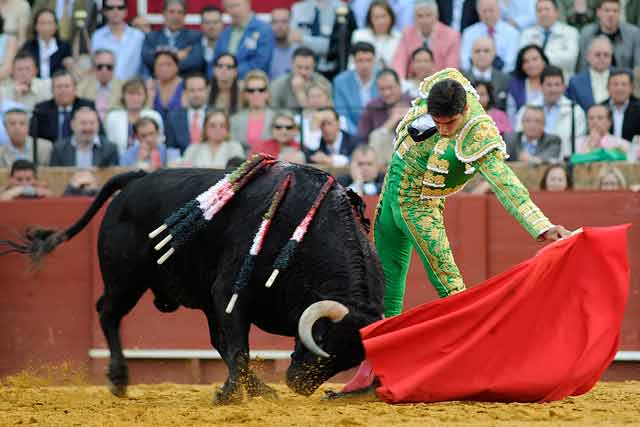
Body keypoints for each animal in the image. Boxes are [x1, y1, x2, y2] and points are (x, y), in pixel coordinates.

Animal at [7, 164, 382, 404]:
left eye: (348, 360)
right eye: (323, 340)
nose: (298, 385)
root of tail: (136, 180)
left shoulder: (222, 302)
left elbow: (231, 346)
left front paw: (239, 392)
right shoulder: (230, 293)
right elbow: (238, 347)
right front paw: (228, 395)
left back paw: (261, 390)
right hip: (125, 281)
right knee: (107, 313)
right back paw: (119, 378)